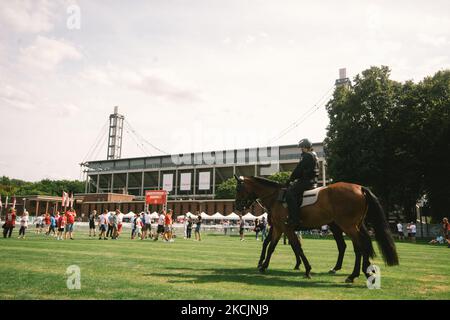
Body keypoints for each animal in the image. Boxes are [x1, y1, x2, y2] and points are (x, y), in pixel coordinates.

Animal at [234, 175, 400, 282]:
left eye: (238, 189)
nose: (237, 206)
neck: (276, 197)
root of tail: (359, 188)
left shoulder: (285, 228)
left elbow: (296, 247)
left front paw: (306, 269)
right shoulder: (279, 228)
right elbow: (271, 246)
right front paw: (263, 265)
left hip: (348, 226)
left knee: (359, 246)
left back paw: (354, 274)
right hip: (348, 226)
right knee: (351, 245)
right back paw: (355, 270)